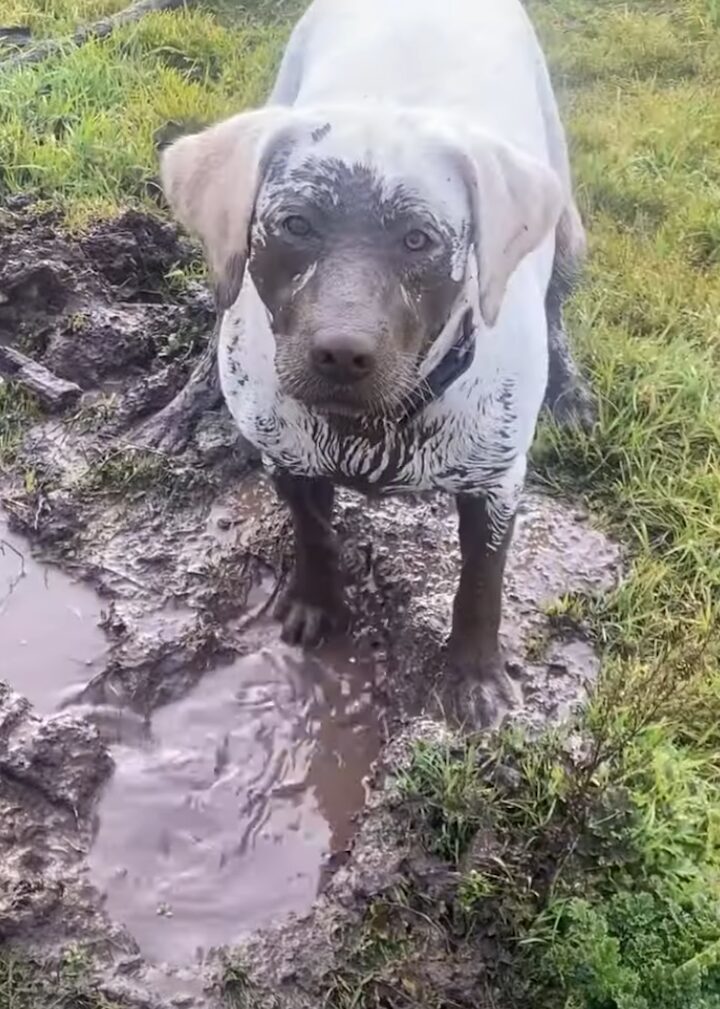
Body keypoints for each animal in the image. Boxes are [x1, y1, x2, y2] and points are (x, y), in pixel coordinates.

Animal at [160, 0, 584, 726]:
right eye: (295, 225)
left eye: (419, 240)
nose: (340, 352)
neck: (374, 428)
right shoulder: (290, 460)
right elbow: (314, 536)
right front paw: (317, 602)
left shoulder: (497, 483)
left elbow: (481, 585)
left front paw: (476, 673)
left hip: (567, 221)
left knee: (559, 299)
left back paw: (573, 388)